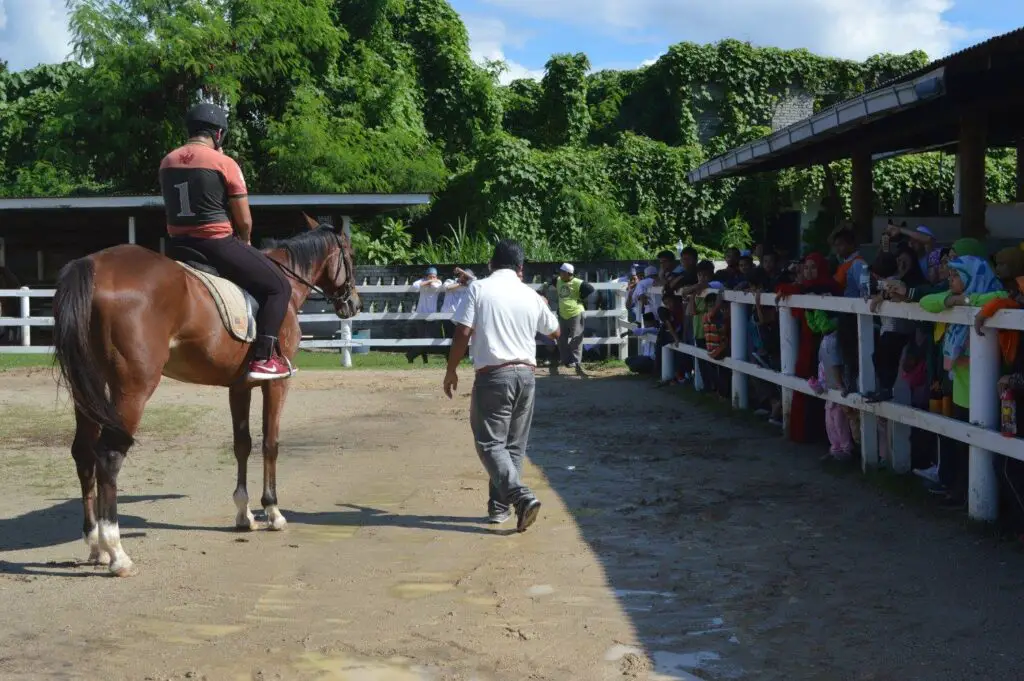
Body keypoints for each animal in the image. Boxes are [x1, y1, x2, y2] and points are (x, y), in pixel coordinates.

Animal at [50, 216, 360, 573]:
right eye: (350, 255)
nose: (354, 304)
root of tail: (92, 264)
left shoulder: (239, 387)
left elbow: (242, 444)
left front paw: (244, 514)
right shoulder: (277, 383)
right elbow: (270, 443)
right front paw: (272, 511)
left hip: (86, 388)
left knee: (83, 453)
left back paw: (94, 544)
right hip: (132, 389)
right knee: (109, 456)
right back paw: (116, 552)